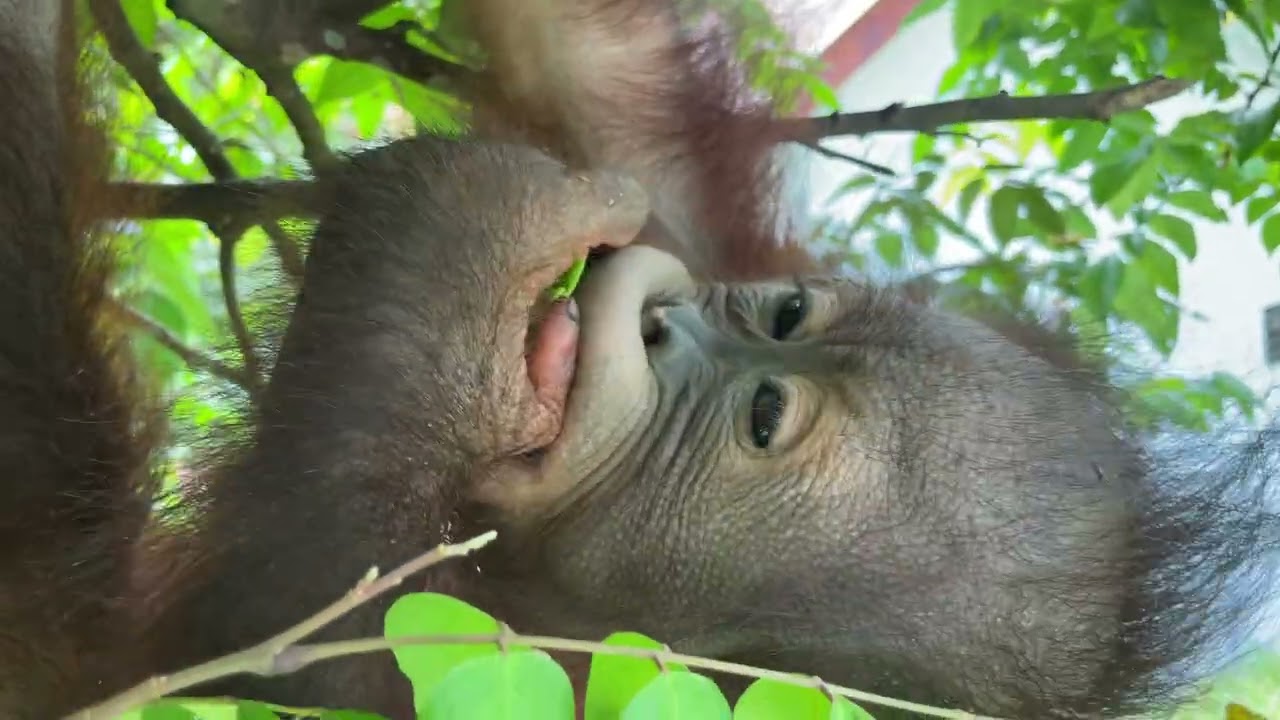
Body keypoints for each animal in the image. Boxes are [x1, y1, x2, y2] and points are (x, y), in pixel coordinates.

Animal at [0, 1, 1276, 720]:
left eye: (759, 419)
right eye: (786, 311)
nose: (659, 319)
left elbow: (268, 645)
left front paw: (456, 235)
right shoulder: (692, 209)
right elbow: (601, 74)